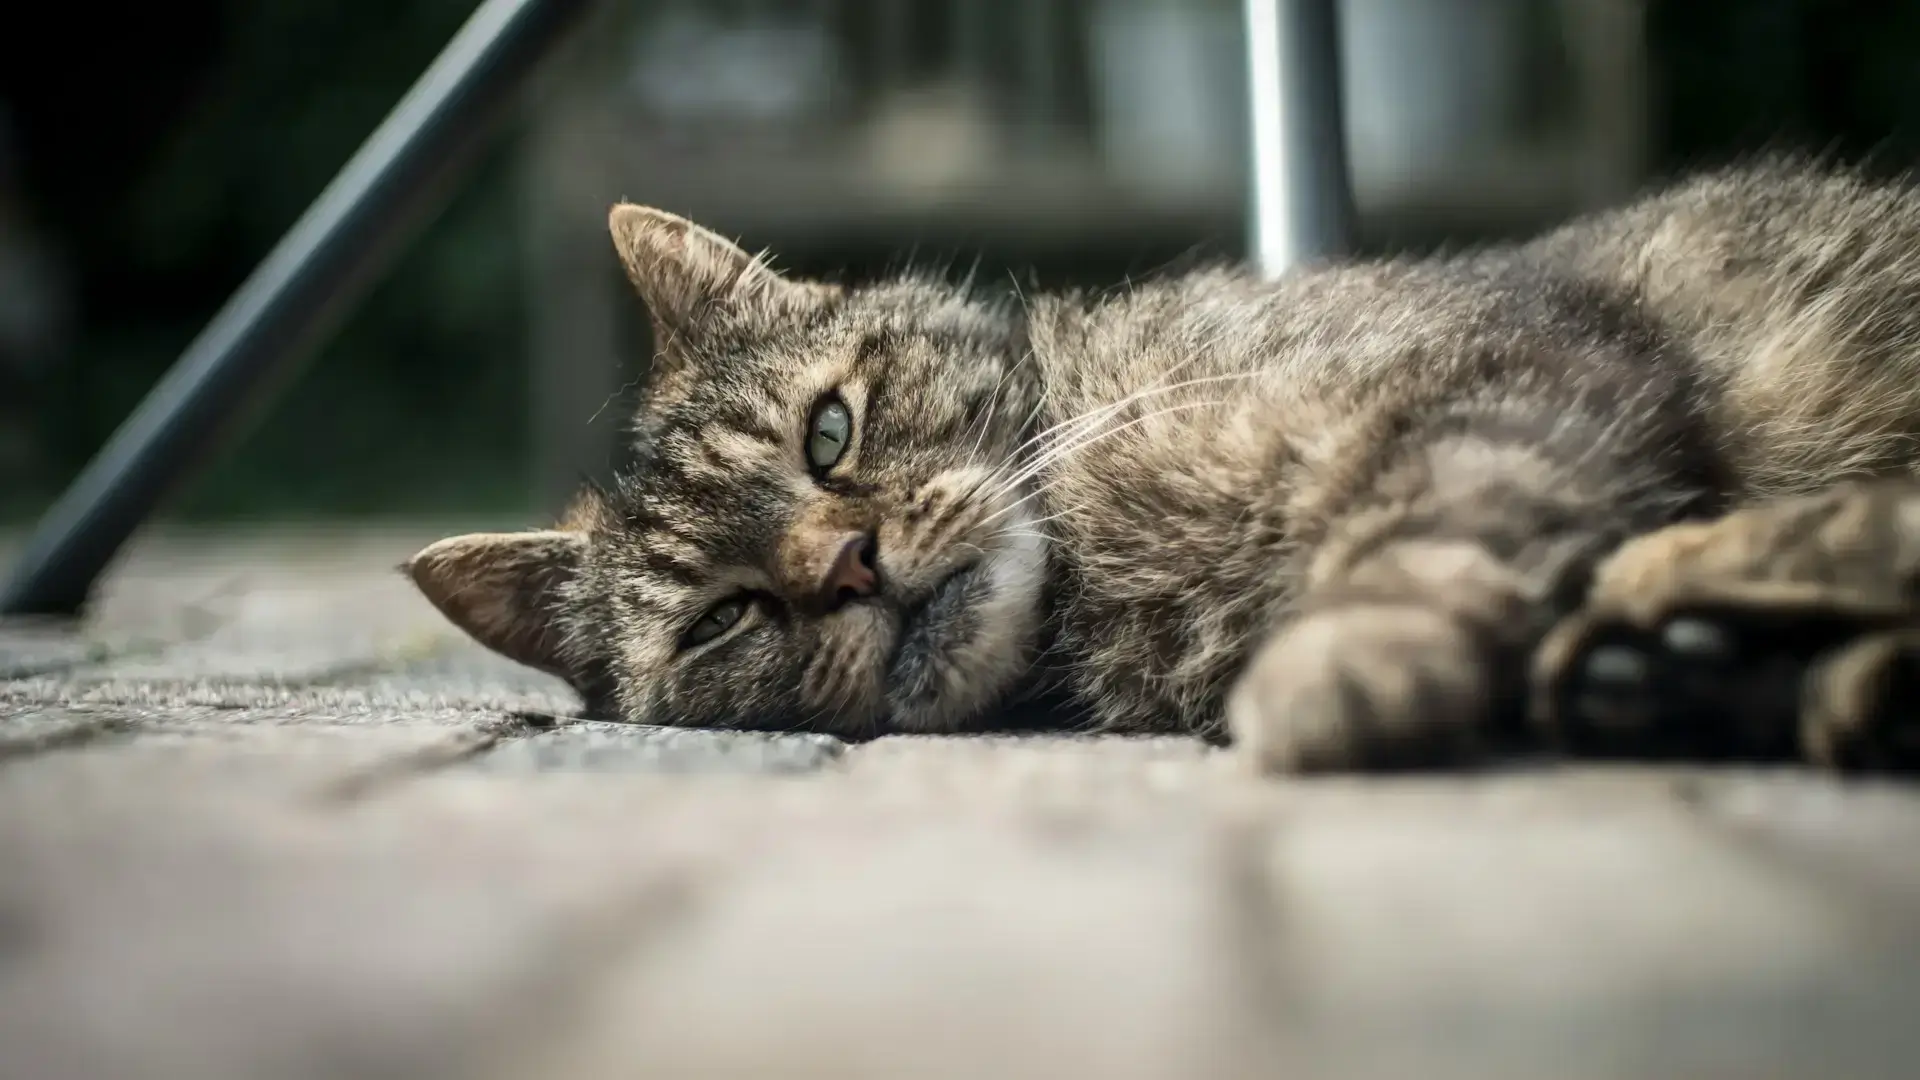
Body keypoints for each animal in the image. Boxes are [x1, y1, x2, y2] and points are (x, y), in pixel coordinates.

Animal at [401, 155, 1920, 768]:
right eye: (723, 620)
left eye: (828, 433)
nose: (849, 565)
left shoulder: (1518, 372)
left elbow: (1414, 529)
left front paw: (1337, 668)